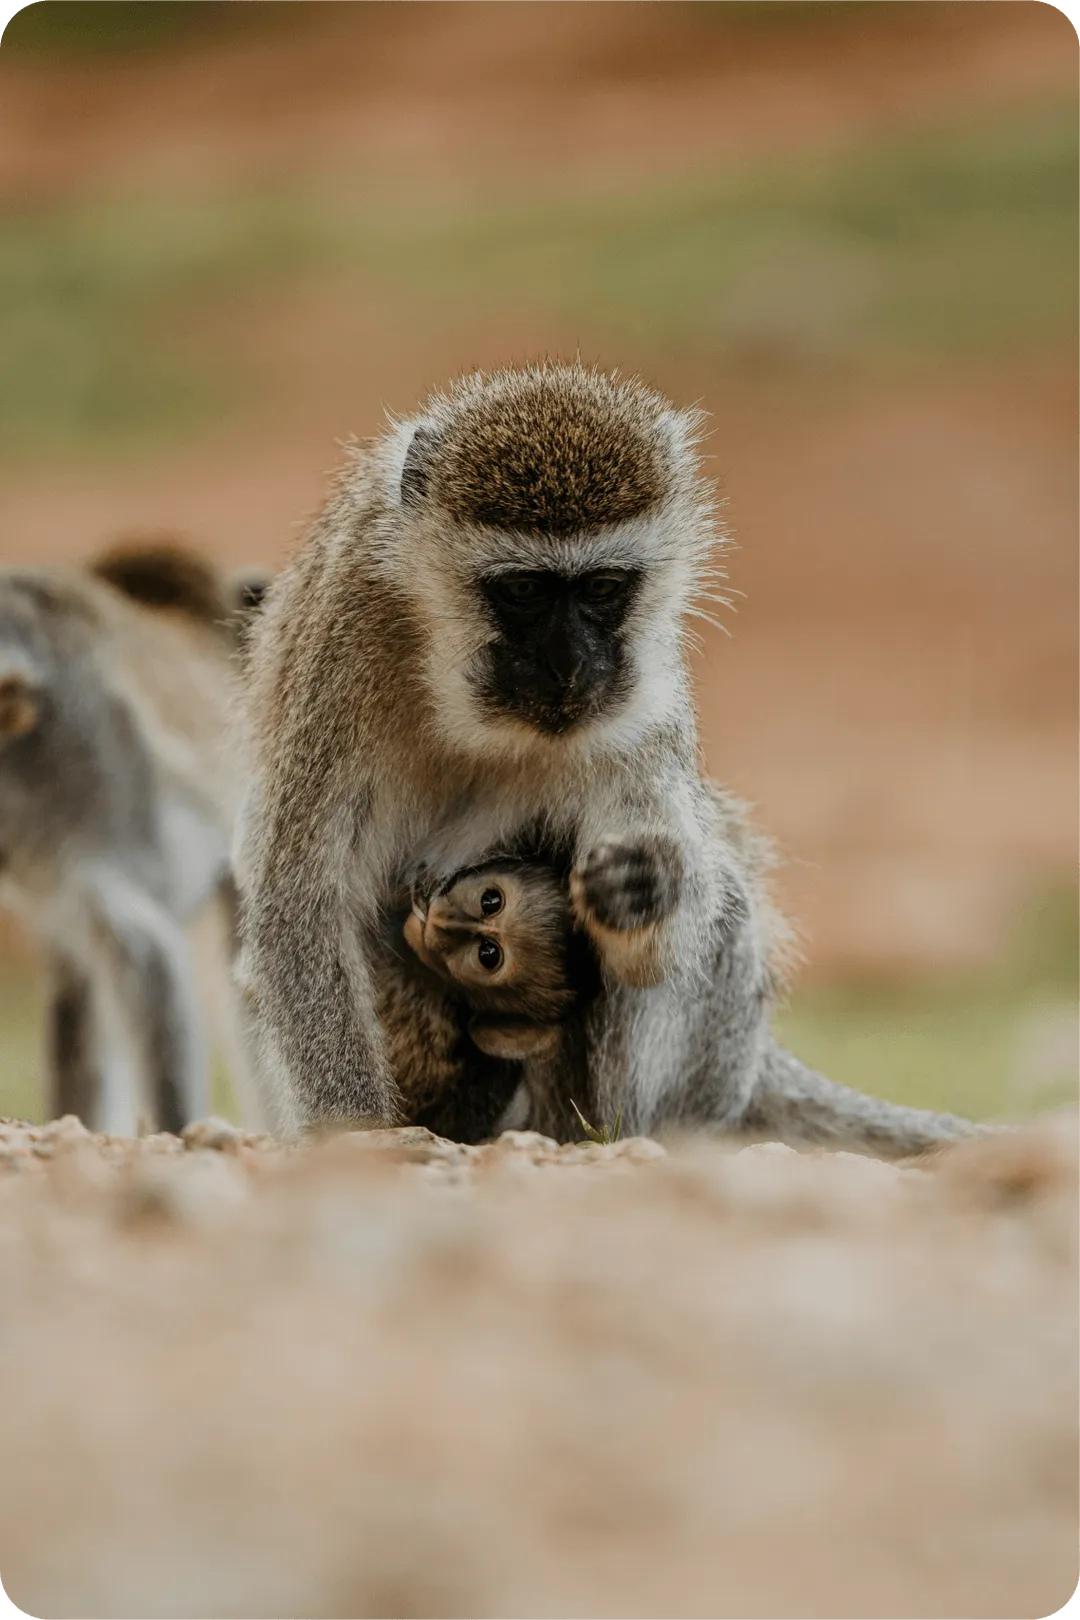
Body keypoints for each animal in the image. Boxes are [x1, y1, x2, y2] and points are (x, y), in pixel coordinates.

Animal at [233, 361, 985, 1158]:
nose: (569, 662)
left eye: (602, 588)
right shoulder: (346, 630)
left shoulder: (640, 699)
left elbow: (656, 936)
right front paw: (358, 1134)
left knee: (718, 894)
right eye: (523, 589)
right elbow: (302, 899)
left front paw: (643, 895)